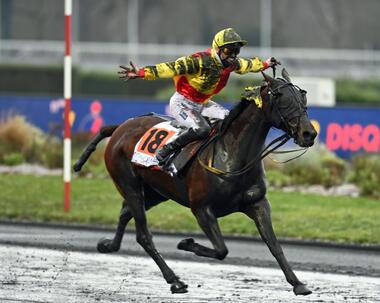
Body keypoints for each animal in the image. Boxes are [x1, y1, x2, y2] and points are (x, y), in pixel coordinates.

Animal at [74, 69, 318, 296]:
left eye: (302, 97)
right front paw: (186, 244)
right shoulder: (202, 209)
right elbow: (221, 250)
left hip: (156, 192)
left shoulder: (258, 203)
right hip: (129, 185)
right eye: (281, 98)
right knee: (143, 234)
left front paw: (298, 284)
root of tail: (119, 128)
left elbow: (274, 245)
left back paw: (109, 245)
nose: (309, 133)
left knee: (125, 212)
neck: (232, 154)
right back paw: (174, 280)